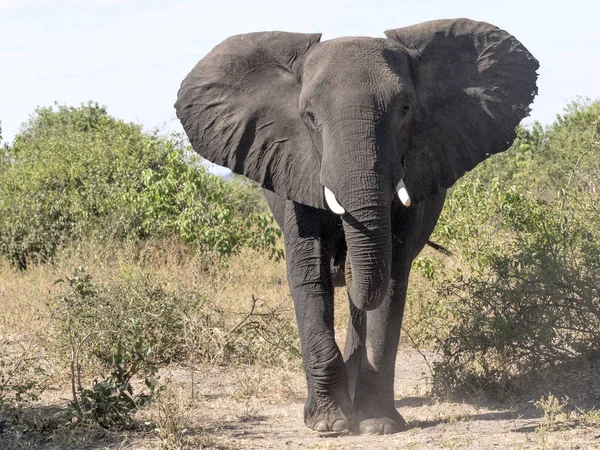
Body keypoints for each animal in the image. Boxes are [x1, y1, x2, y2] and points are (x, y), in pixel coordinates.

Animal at [175, 18, 540, 436]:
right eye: (309, 116)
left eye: (405, 109)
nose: (345, 263)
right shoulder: (293, 166)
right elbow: (308, 273)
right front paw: (328, 424)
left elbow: (392, 277)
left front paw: (377, 424)